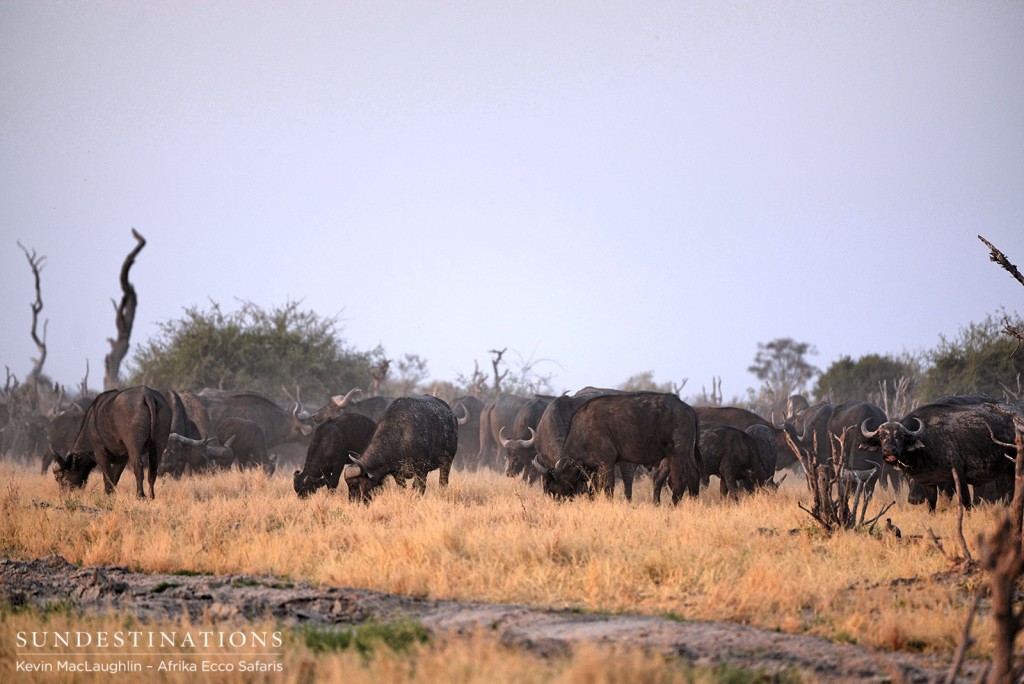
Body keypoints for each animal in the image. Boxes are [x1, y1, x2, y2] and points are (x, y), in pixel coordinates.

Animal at [532, 393, 700, 505]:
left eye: (553, 489)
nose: (557, 503)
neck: (582, 432)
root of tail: (687, 408)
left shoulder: (606, 463)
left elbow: (607, 488)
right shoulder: (593, 468)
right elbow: (595, 489)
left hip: (676, 453)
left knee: (679, 480)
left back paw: (672, 506)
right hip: (686, 454)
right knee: (693, 475)